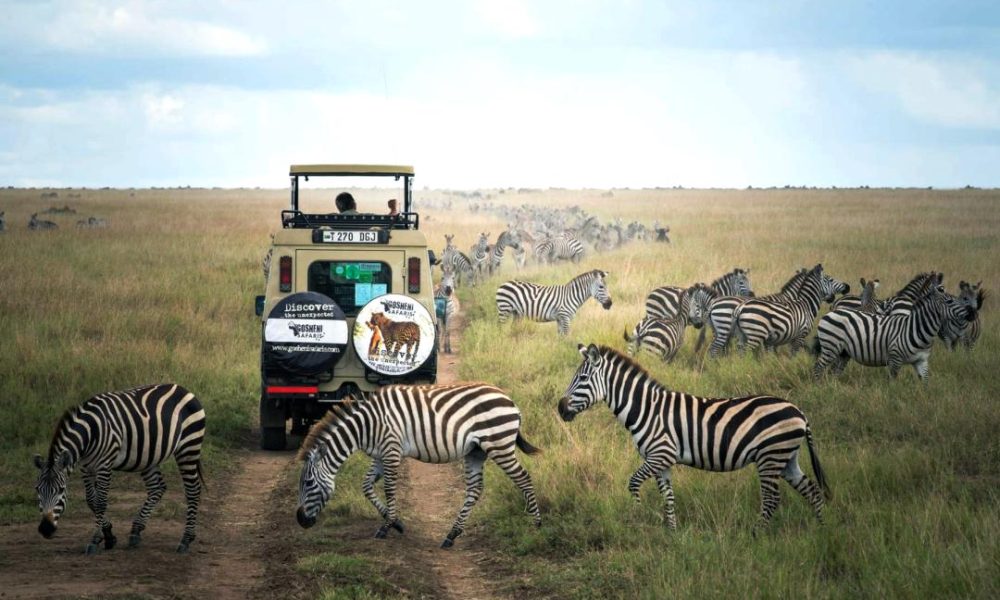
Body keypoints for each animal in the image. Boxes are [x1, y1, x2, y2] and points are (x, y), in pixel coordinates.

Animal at [34, 384, 206, 552]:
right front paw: (109, 535)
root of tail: (182, 388)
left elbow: (101, 502)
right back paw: (136, 530)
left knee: (193, 490)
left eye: (61, 490)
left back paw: (186, 539)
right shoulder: (86, 467)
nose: (45, 529)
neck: (91, 431)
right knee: (157, 487)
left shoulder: (105, 465)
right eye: (37, 489)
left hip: (188, 446)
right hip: (148, 456)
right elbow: (91, 500)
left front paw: (95, 540)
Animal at [292, 384, 544, 548]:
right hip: (476, 451)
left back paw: (536, 524)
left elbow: (389, 489)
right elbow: (366, 486)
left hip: (499, 444)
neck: (367, 426)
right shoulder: (380, 455)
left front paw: (387, 526)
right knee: (475, 490)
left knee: (523, 477)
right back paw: (451, 535)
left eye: (309, 483)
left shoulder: (391, 451)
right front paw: (397, 524)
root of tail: (510, 400)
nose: (301, 521)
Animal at [560, 344, 832, 532]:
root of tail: (799, 412)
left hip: (771, 457)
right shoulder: (662, 461)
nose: (560, 409)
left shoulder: (660, 454)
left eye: (582, 379)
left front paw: (637, 513)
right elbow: (668, 497)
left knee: (772, 499)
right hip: (786, 458)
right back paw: (821, 529)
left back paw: (757, 534)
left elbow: (633, 482)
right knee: (812, 490)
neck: (646, 409)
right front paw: (671, 533)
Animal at [812, 278, 976, 382]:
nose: (973, 312)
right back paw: (820, 389)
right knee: (818, 368)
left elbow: (925, 383)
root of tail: (832, 311)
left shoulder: (922, 361)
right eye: (949, 301)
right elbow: (892, 384)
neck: (918, 329)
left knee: (834, 371)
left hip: (843, 352)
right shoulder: (895, 360)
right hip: (831, 347)